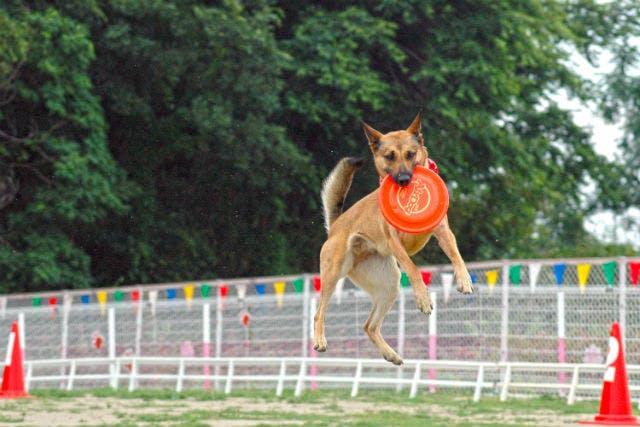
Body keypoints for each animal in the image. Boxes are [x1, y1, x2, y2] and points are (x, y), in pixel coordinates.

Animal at [312, 112, 472, 366]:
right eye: (389, 156)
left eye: (410, 154)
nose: (405, 179)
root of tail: (335, 226)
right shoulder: (394, 243)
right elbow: (414, 269)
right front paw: (423, 298)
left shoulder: (444, 232)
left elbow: (456, 256)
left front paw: (464, 280)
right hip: (333, 274)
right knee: (319, 312)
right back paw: (319, 340)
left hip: (388, 285)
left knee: (369, 326)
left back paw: (391, 355)